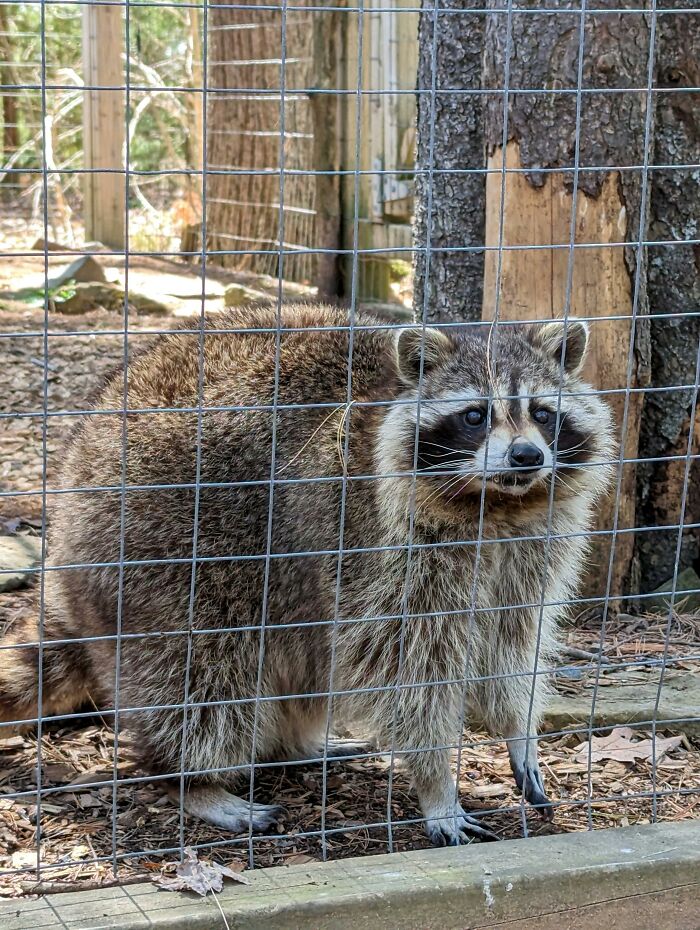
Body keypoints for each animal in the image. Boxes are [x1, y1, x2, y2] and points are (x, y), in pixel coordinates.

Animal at [0, 305, 614, 846]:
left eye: (542, 413)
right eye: (475, 415)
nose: (527, 457)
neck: (497, 506)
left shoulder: (528, 551)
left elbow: (512, 645)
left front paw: (519, 732)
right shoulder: (380, 547)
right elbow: (407, 674)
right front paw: (436, 783)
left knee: (300, 660)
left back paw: (297, 745)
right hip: (158, 548)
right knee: (201, 675)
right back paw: (190, 781)